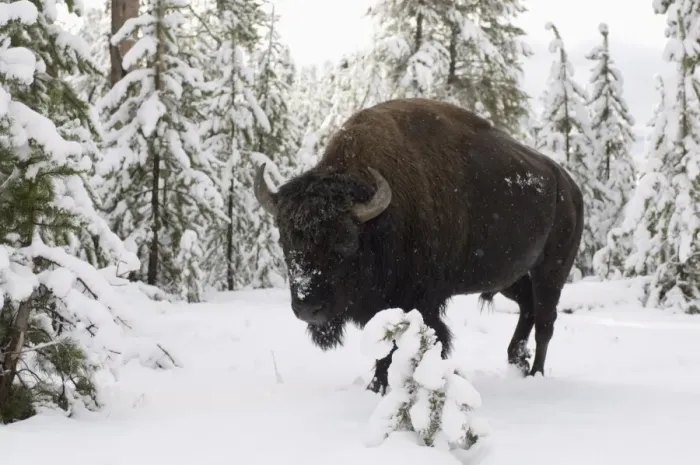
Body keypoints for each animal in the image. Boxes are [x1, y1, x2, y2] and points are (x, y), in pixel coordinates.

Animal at [254, 98, 584, 394]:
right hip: (509, 277)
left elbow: (407, 343)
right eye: (285, 238)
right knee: (528, 307)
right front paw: (376, 387)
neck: (379, 221)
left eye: (346, 240)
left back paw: (535, 373)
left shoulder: (419, 300)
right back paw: (516, 359)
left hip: (551, 271)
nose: (309, 308)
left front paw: (383, 387)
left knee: (545, 321)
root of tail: (569, 185)